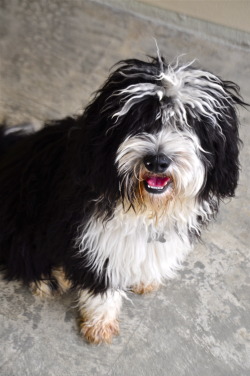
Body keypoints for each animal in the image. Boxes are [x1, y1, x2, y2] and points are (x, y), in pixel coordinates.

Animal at [0, 54, 246, 346]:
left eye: (188, 123)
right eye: (138, 120)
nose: (157, 161)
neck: (145, 208)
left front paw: (145, 279)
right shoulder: (94, 239)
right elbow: (102, 285)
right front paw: (100, 324)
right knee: (20, 256)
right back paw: (48, 279)